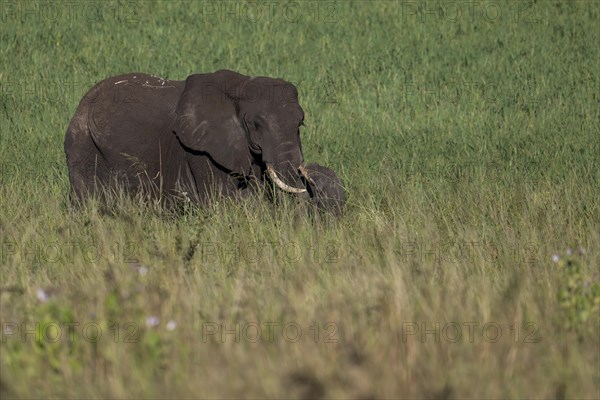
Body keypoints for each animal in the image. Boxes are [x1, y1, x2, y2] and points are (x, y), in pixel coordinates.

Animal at [63, 71, 344, 216]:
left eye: (301, 123)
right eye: (255, 124)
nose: (311, 174)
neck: (240, 86)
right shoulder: (201, 149)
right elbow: (223, 200)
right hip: (82, 144)